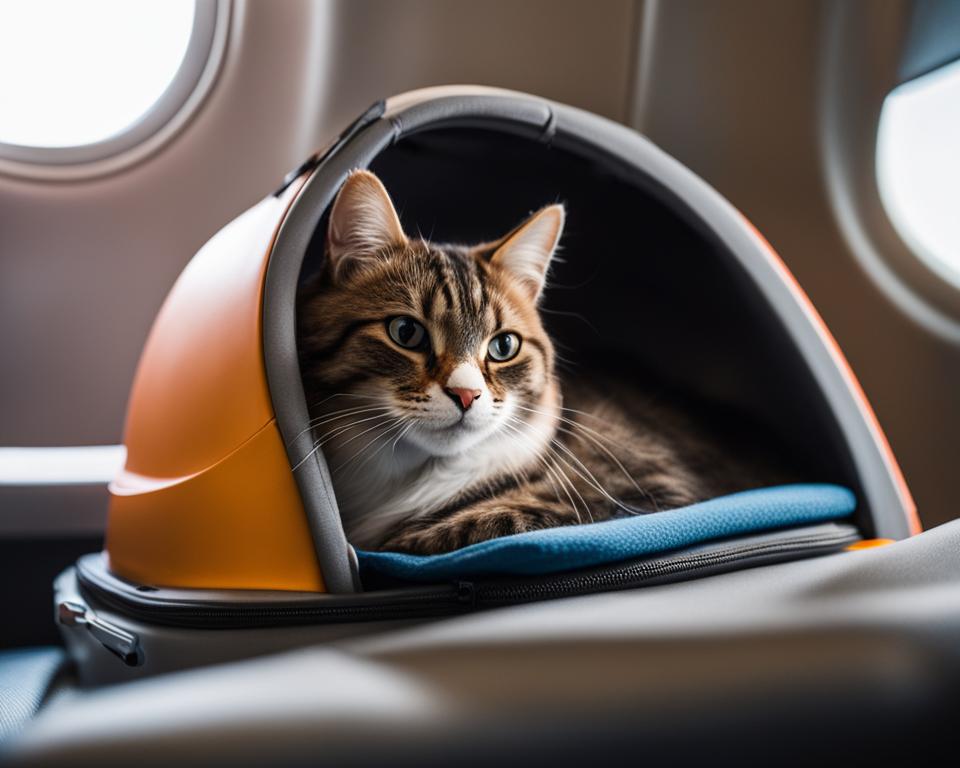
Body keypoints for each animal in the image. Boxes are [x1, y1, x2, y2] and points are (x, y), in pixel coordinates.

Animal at [298, 170, 788, 552]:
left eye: (503, 347)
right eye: (406, 332)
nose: (466, 394)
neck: (407, 479)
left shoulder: (652, 491)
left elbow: (486, 521)